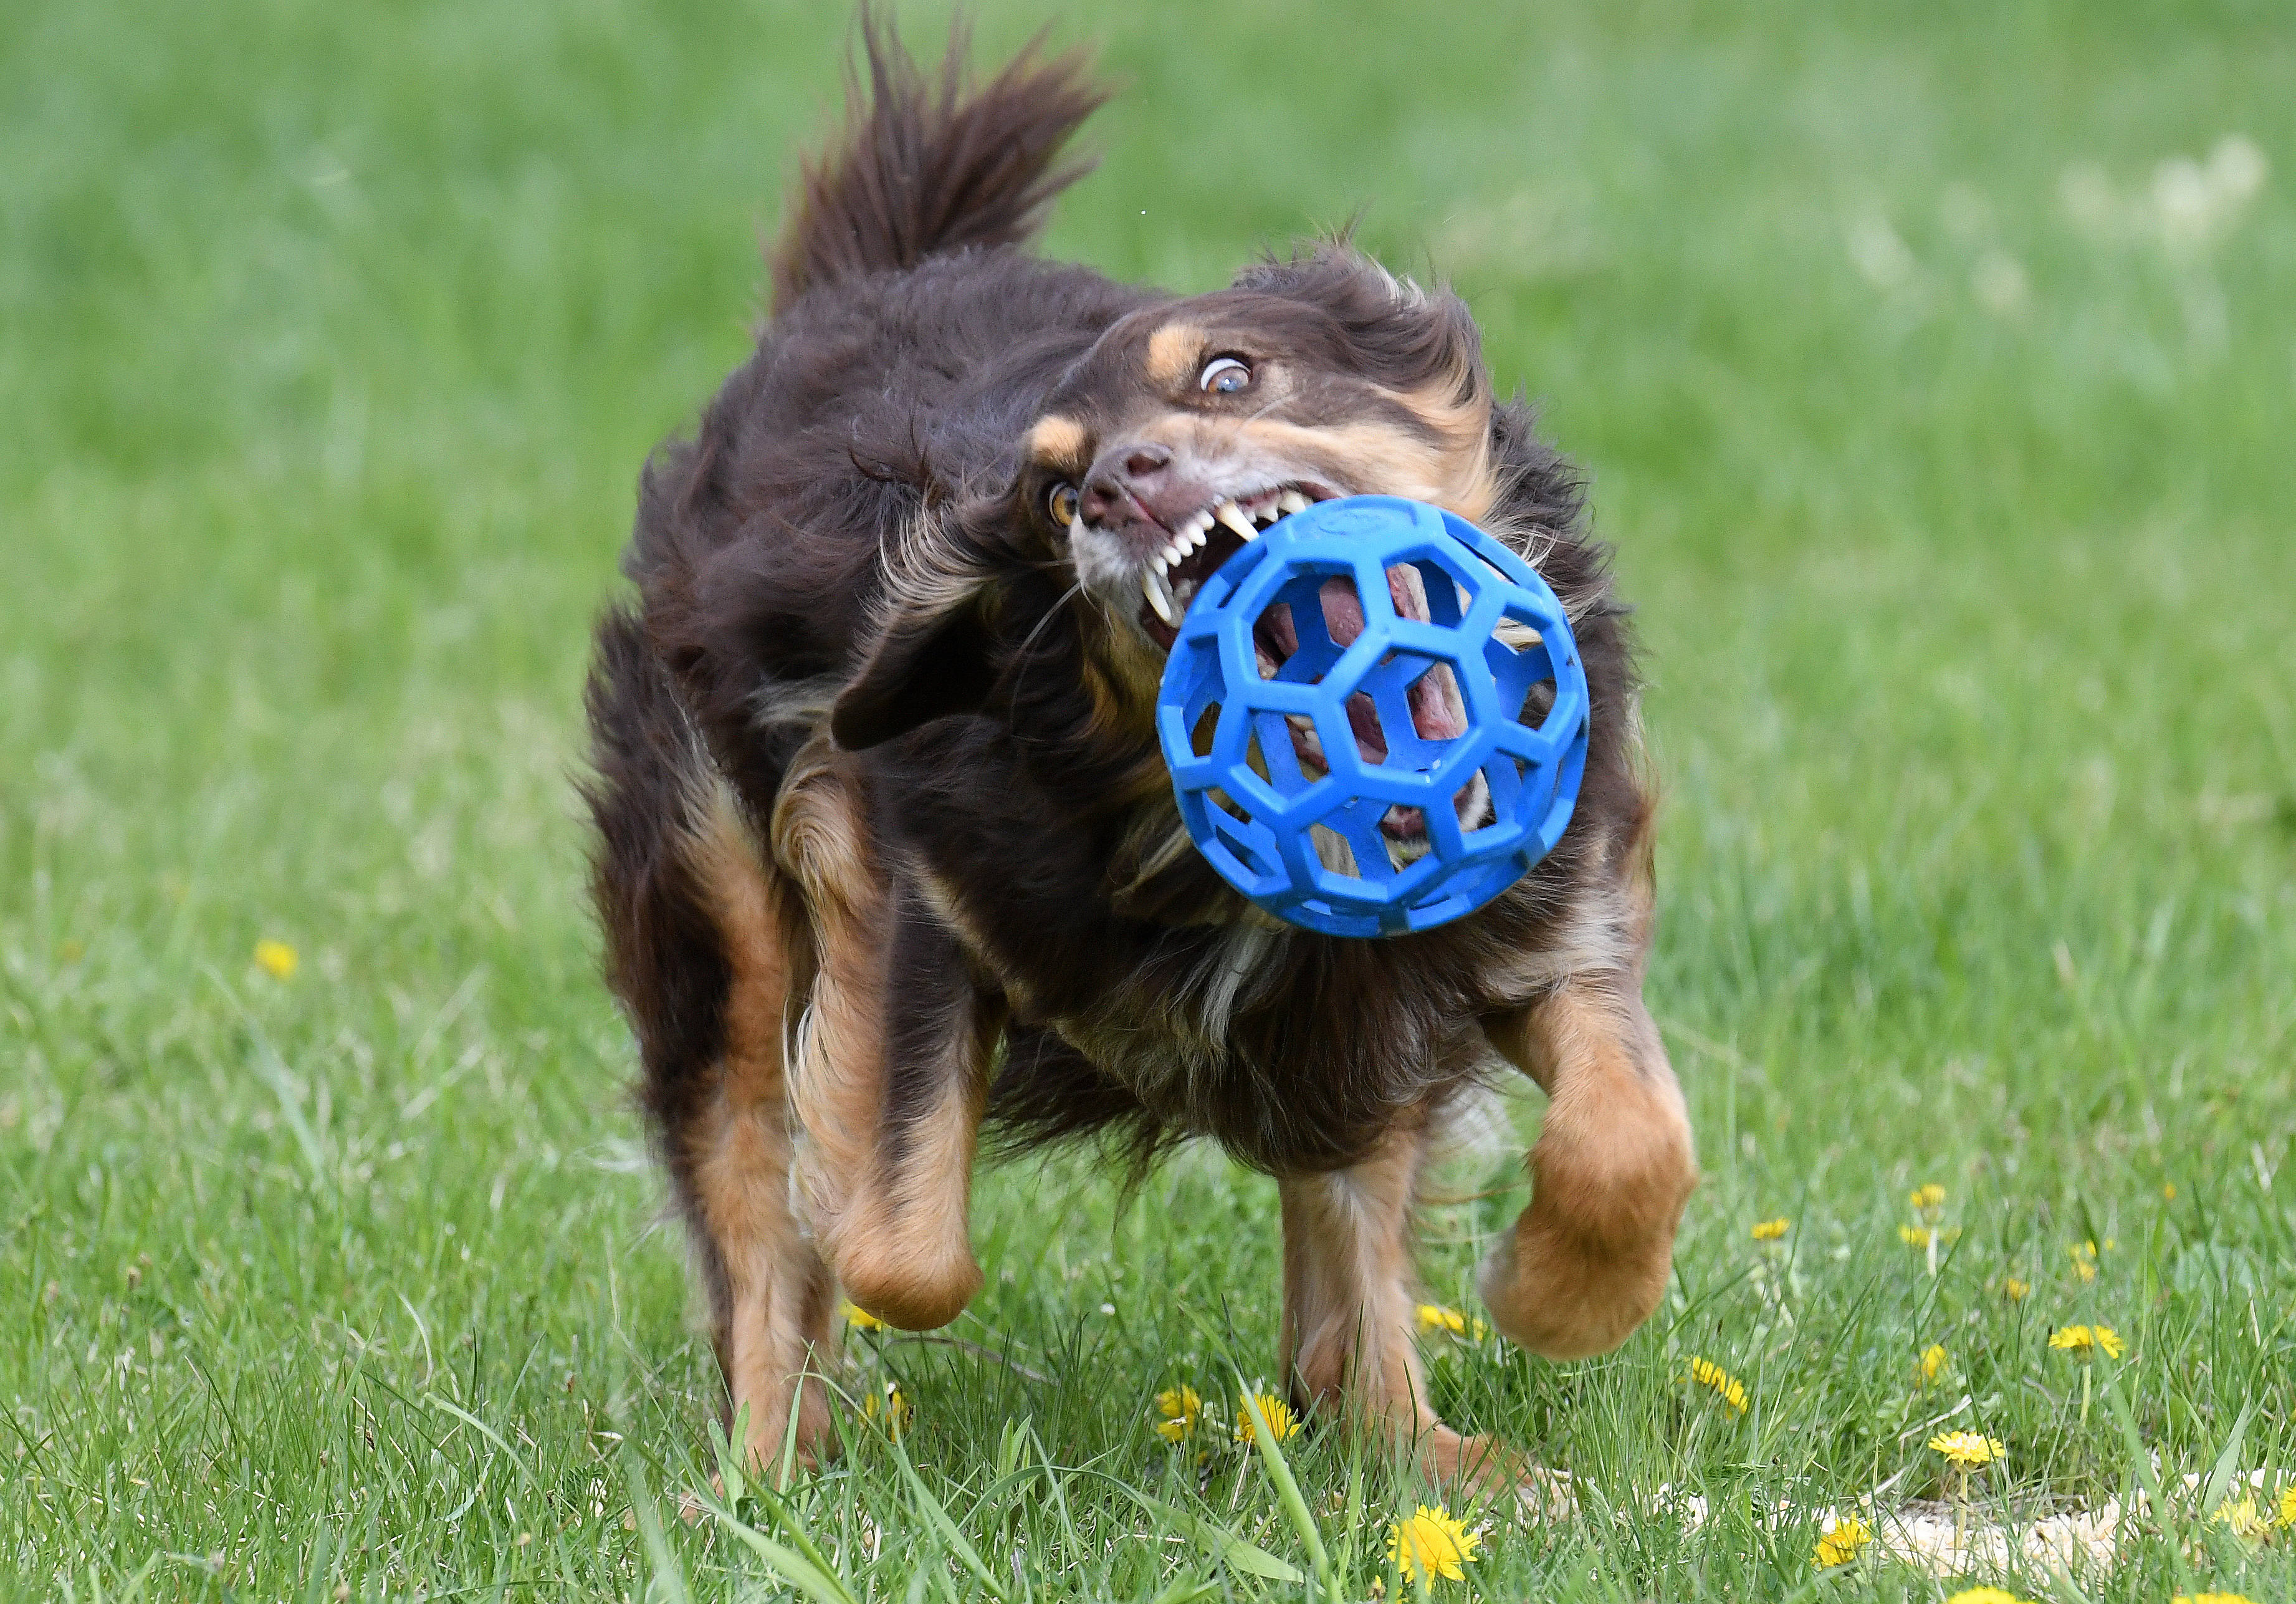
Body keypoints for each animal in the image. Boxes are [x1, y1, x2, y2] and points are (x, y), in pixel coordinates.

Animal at [588, 18, 1708, 1489]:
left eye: (1228, 371)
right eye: (1053, 493)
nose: (1123, 481)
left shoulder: (1534, 915)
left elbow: (1633, 1133)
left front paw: (1556, 1294)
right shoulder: (908, 887)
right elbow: (896, 1244)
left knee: (1354, 1193)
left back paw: (1410, 1447)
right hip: (708, 891)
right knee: (749, 1192)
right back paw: (768, 1477)